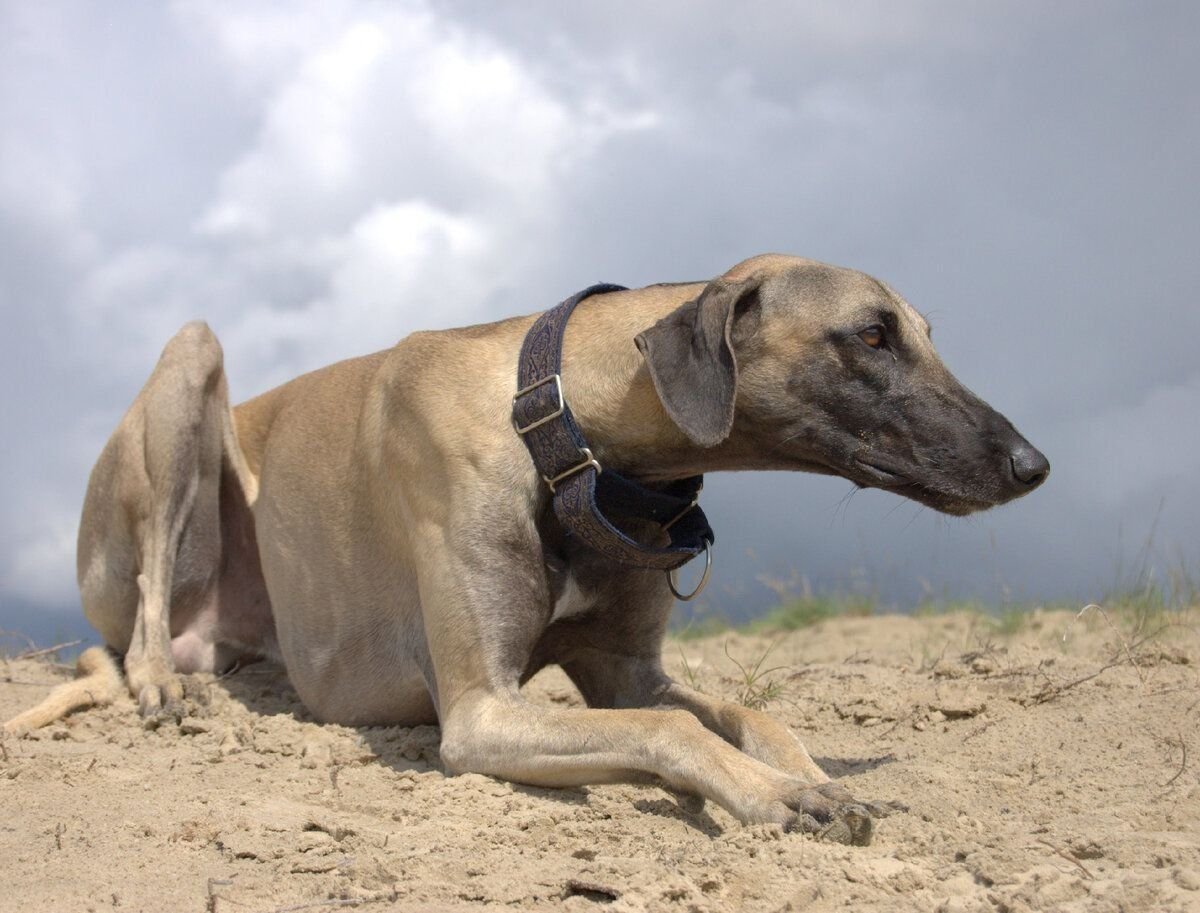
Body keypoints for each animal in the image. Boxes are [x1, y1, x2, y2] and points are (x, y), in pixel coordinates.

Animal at [7, 253, 1041, 844]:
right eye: (871, 334)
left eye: (925, 332)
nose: (1032, 465)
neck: (565, 427)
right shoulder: (480, 711)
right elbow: (669, 733)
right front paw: (787, 801)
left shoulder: (626, 668)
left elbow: (747, 714)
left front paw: (809, 777)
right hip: (188, 368)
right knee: (144, 610)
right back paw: (159, 684)